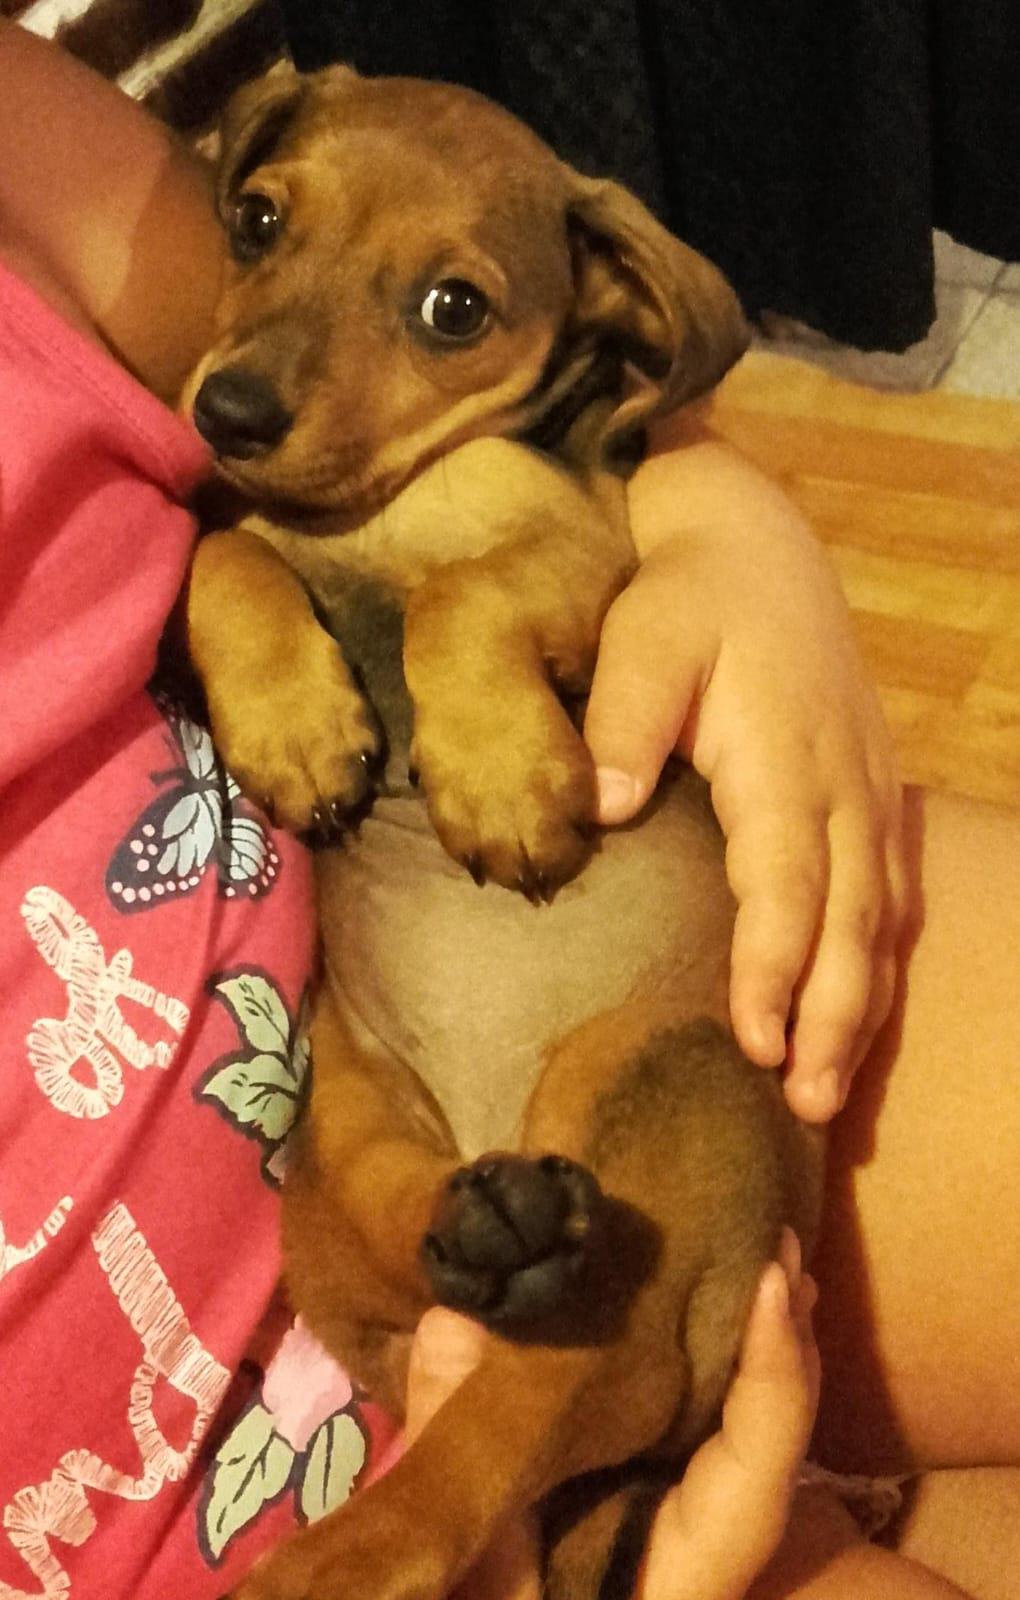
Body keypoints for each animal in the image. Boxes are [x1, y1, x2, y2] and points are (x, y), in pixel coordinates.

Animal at [183, 61, 825, 1600]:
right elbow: (222, 551)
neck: (374, 509)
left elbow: (457, 596)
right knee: (438, 1272)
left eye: (453, 309)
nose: (226, 409)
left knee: (520, 1422)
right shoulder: (255, 531)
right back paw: (487, 1231)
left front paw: (497, 777)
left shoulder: (585, 566)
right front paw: (297, 727)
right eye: (256, 218)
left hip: (641, 1071)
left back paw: (349, 1548)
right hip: (345, 1119)